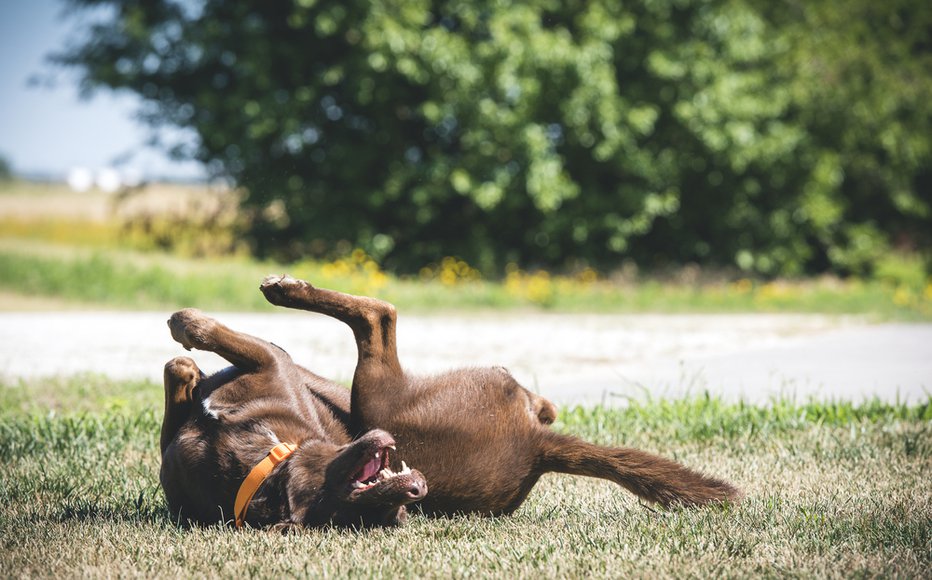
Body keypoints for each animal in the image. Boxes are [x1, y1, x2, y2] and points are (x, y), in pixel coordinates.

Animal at [162, 274, 744, 528]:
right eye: (374, 507)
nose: (417, 489)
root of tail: (537, 446)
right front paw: (188, 372)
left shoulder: (274, 363)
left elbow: (222, 344)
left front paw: (190, 330)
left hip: (376, 394)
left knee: (379, 315)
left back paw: (286, 290)